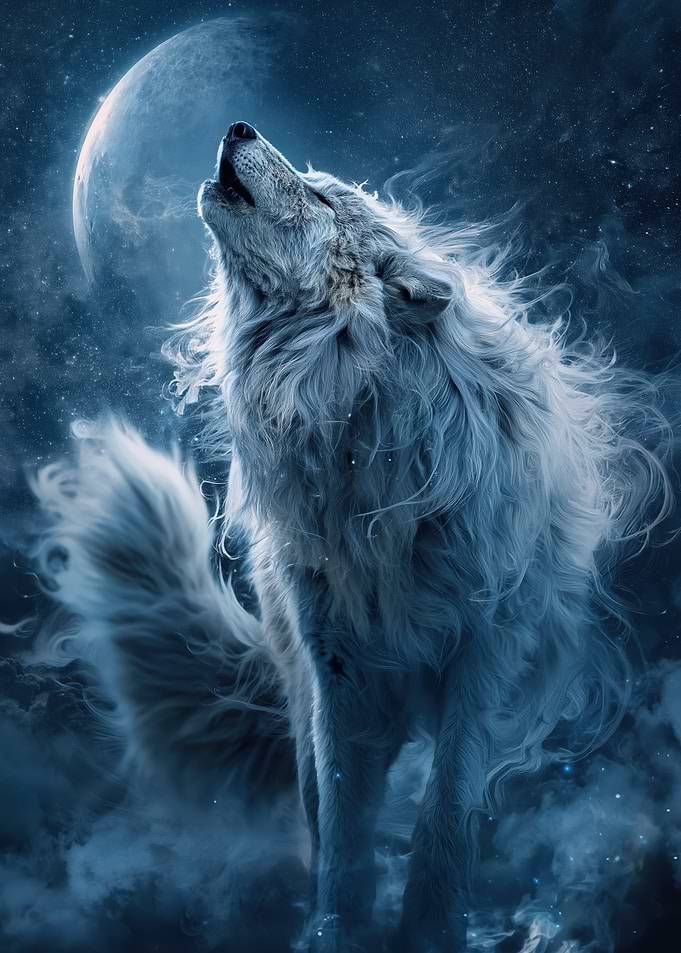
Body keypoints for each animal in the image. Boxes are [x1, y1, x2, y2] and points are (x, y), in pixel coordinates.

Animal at [35, 121, 670, 952]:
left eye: (322, 195)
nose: (238, 124)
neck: (360, 427)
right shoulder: (335, 666)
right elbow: (339, 830)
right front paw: (338, 928)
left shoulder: (483, 655)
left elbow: (443, 813)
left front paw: (429, 926)